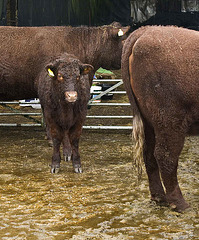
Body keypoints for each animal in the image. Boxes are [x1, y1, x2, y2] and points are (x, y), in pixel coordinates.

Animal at [121, 25, 199, 211]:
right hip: (170, 121)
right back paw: (180, 204)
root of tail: (144, 31)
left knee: (149, 155)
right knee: (165, 156)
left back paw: (159, 197)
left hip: (150, 123)